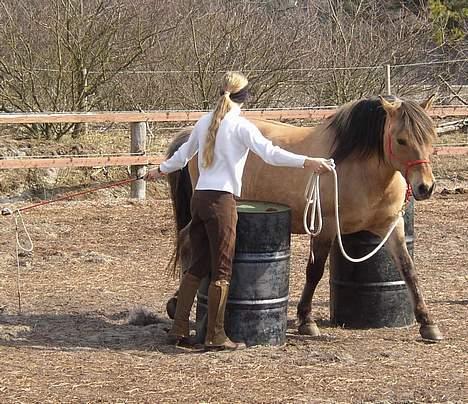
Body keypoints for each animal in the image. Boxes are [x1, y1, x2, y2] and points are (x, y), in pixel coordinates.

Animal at [165, 94, 442, 340]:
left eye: (431, 137)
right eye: (401, 140)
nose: (425, 187)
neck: (359, 167)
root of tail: (193, 136)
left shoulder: (391, 227)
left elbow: (408, 270)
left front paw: (427, 323)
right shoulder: (325, 228)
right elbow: (315, 271)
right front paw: (306, 320)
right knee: (187, 241)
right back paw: (177, 302)